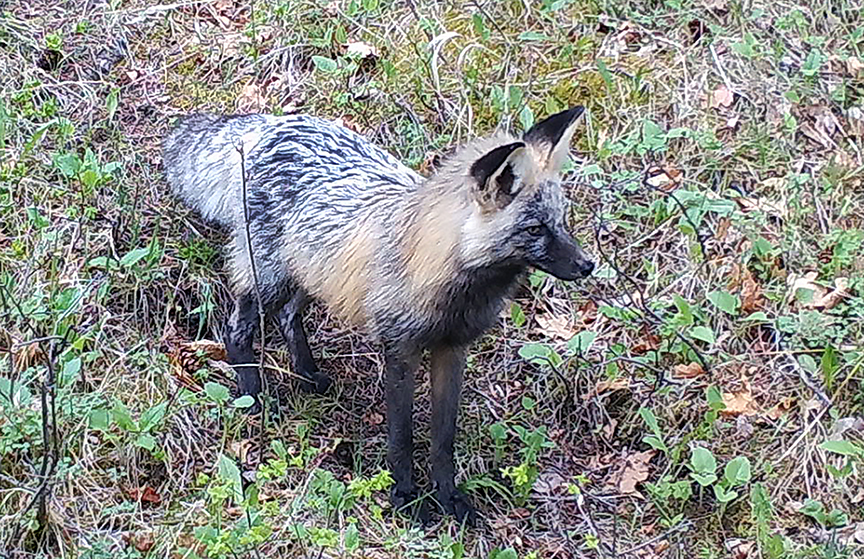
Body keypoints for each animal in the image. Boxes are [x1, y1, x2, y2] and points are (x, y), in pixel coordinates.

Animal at [162, 106, 592, 524]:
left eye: (562, 221)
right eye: (535, 229)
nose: (588, 265)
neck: (448, 284)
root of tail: (274, 122)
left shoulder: (452, 349)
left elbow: (443, 440)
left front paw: (448, 497)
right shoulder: (400, 349)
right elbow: (402, 437)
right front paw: (406, 498)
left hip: (312, 274)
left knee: (287, 317)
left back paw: (307, 374)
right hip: (268, 277)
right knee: (236, 331)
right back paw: (254, 397)